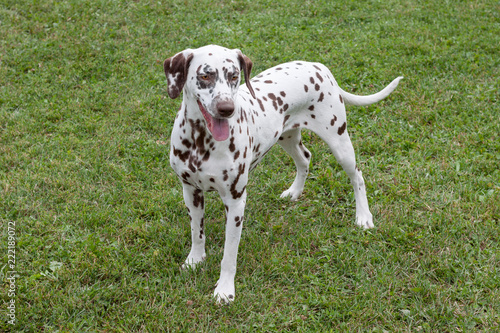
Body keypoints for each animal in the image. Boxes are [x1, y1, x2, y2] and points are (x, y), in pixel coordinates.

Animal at [164, 44, 402, 304]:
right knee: (305, 158)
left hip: (339, 143)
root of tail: (319, 67)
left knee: (357, 176)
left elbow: (229, 255)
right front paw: (195, 260)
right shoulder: (191, 191)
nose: (227, 108)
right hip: (287, 138)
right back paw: (295, 192)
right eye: (205, 76)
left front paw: (225, 289)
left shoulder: (236, 203)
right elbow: (197, 233)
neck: (200, 142)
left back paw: (363, 217)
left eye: (234, 76)